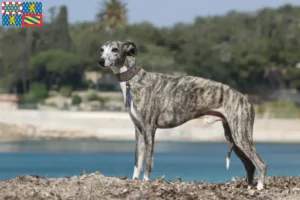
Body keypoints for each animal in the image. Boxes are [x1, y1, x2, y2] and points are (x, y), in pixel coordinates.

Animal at [98, 39, 268, 190]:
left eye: (115, 49)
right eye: (101, 49)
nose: (100, 61)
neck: (134, 80)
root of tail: (247, 100)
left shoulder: (149, 128)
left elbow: (147, 162)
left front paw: (145, 182)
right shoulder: (138, 130)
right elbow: (137, 161)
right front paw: (134, 181)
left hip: (240, 136)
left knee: (261, 163)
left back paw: (259, 187)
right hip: (232, 137)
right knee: (250, 165)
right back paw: (249, 187)